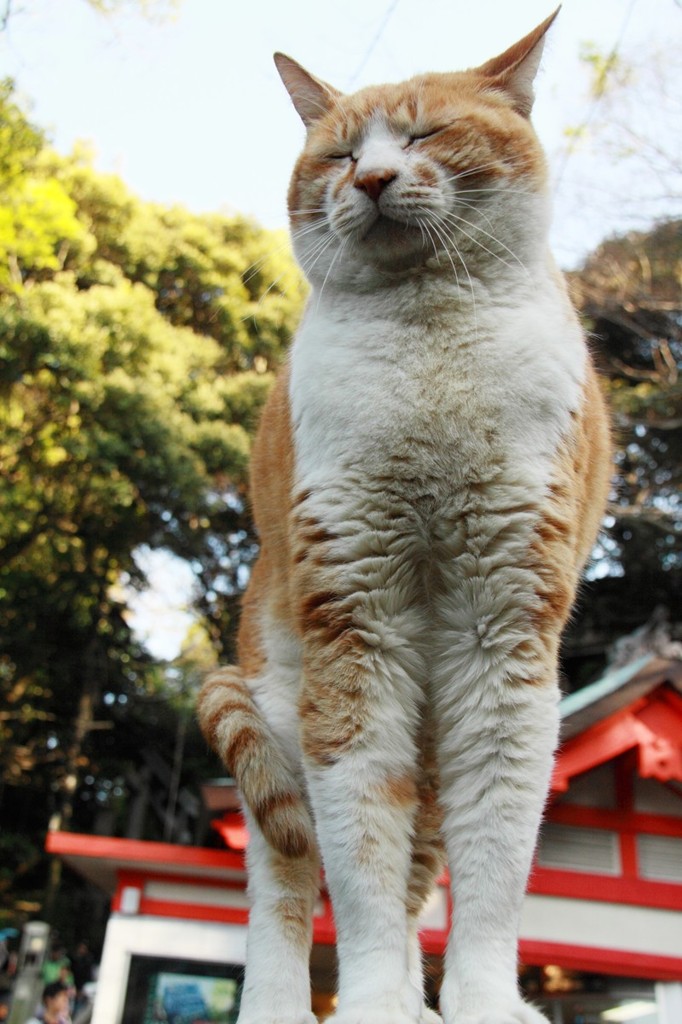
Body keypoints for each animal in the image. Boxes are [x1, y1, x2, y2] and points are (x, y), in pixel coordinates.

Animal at [199, 14, 606, 1024]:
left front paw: (481, 1000)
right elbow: (357, 854)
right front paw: (379, 999)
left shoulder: (505, 632)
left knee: (425, 859)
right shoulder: (355, 624)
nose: (374, 179)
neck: (429, 337)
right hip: (278, 705)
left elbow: (494, 857)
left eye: (426, 134)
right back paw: (279, 1005)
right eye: (341, 152)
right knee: (286, 878)